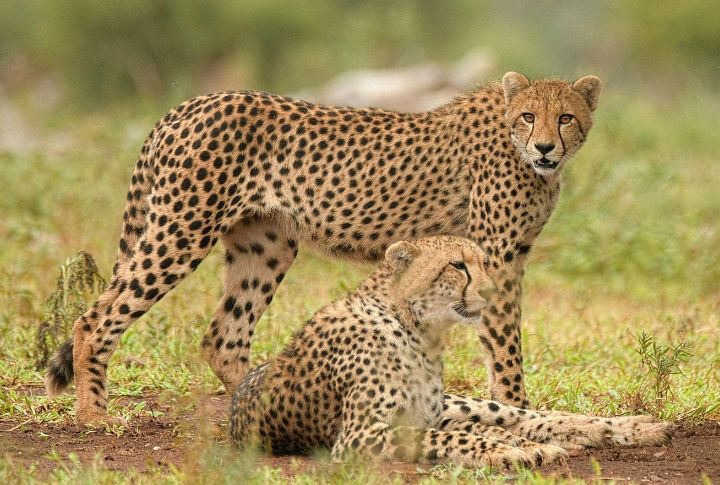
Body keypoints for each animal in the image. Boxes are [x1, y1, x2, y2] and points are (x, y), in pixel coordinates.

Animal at [45, 71, 603, 424]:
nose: (546, 147)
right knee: (96, 318)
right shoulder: (497, 257)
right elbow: (505, 346)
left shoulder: (509, 257)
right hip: (182, 229)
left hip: (266, 245)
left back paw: (264, 403)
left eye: (566, 118)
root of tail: (191, 103)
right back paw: (94, 416)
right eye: (529, 116)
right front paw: (518, 407)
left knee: (224, 336)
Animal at [229, 235, 672, 468]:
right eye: (457, 266)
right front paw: (513, 451)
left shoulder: (422, 414)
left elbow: (470, 431)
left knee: (523, 415)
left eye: (482, 263)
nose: (492, 292)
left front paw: (519, 448)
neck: (417, 328)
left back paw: (630, 427)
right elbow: (454, 437)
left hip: (457, 402)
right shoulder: (359, 436)